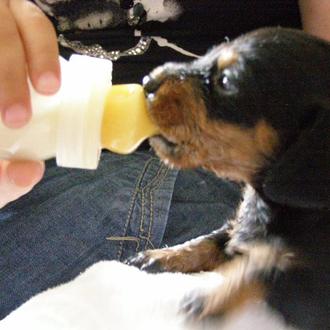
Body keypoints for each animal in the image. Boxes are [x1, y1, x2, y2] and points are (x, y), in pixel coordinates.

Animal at [127, 28, 330, 330]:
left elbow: (263, 268)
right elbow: (209, 241)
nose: (147, 82)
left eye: (226, 81)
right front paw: (160, 256)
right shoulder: (238, 224)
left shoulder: (312, 289)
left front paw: (207, 300)